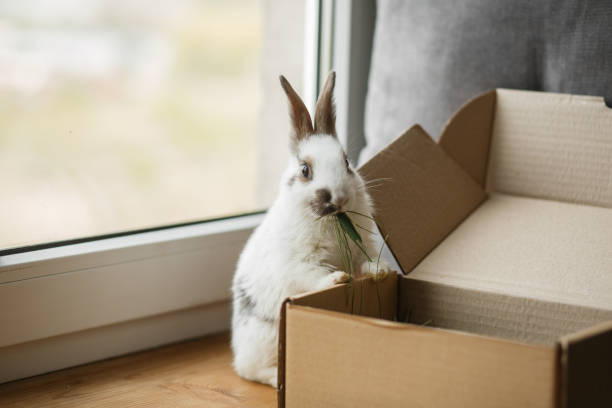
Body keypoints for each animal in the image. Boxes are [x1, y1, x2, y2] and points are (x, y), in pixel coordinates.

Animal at [230, 71, 392, 388]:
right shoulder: (297, 263)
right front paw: (338, 279)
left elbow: (364, 263)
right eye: (305, 170)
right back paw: (276, 378)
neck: (330, 222)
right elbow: (312, 275)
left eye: (347, 162)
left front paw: (381, 271)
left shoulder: (361, 247)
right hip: (268, 338)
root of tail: (238, 347)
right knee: (250, 371)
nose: (338, 198)